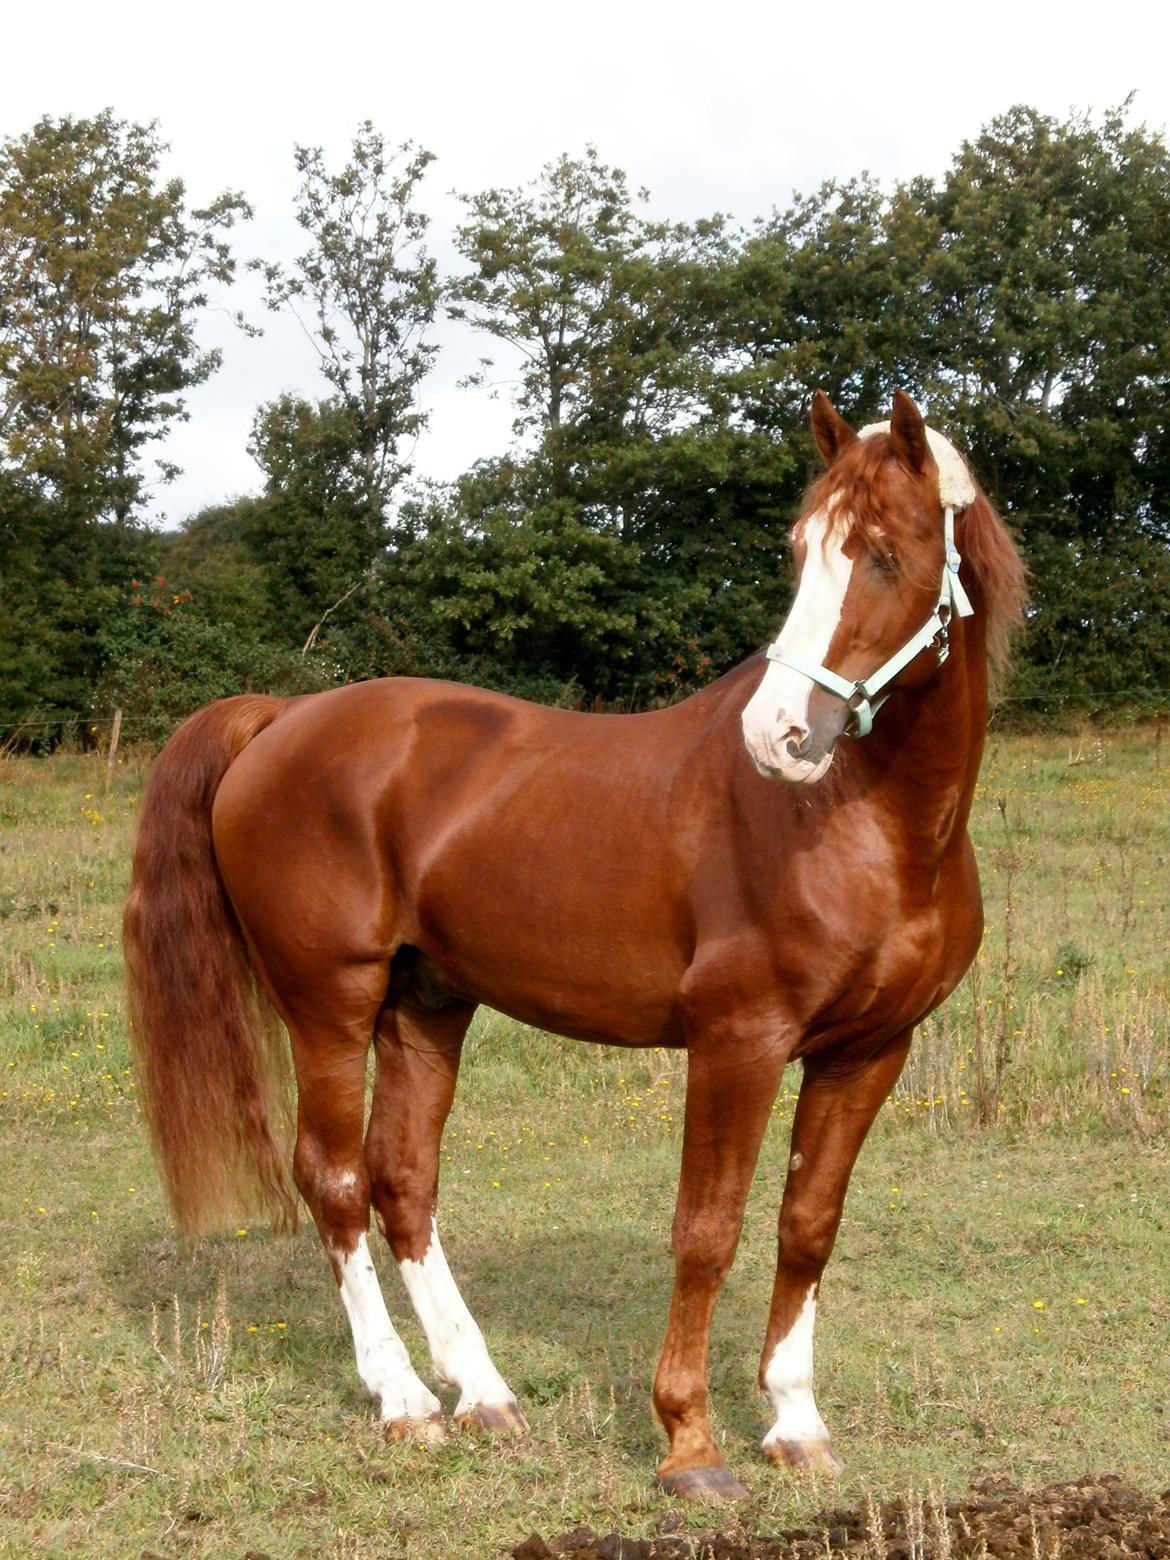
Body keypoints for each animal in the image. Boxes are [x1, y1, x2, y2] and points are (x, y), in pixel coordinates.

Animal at [124, 390, 1029, 1497]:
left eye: (887, 557)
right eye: (801, 551)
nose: (777, 736)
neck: (868, 826)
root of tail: (283, 714)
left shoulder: (868, 1053)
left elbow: (806, 1227)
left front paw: (796, 1421)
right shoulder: (739, 1042)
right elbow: (706, 1230)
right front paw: (689, 1441)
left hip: (425, 1005)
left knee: (402, 1181)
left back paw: (484, 1393)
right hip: (329, 1003)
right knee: (332, 1180)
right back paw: (404, 1402)